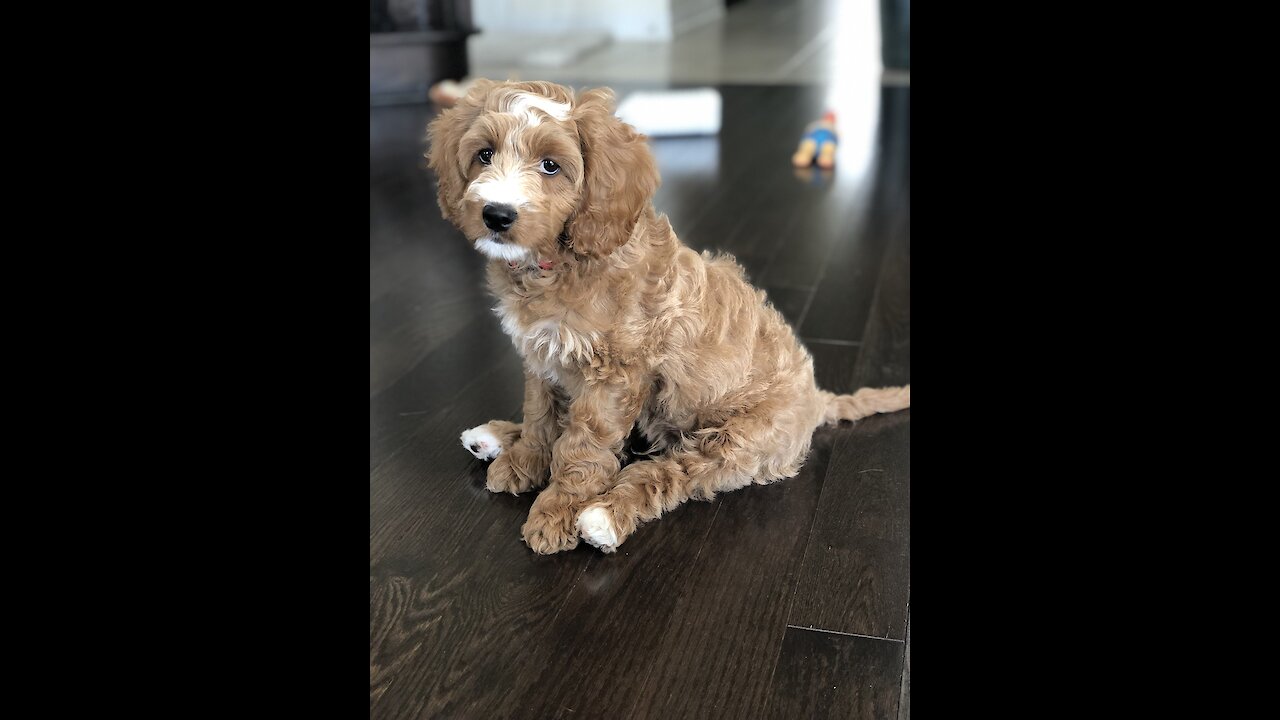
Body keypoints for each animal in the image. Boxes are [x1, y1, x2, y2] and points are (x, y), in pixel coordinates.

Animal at [424, 78, 906, 550]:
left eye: (550, 166)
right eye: (485, 154)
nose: (496, 215)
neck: (559, 262)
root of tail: (815, 399)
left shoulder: (613, 376)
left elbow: (582, 447)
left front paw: (557, 510)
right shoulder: (542, 357)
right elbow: (540, 415)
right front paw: (524, 460)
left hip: (738, 441)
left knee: (677, 471)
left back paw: (605, 515)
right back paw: (495, 438)